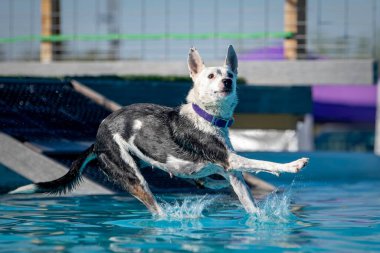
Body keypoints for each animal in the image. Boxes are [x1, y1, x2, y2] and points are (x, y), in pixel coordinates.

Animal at [11, 46, 308, 215]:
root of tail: (97, 141)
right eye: (211, 76)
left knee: (200, 180)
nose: (227, 82)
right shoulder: (229, 159)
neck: (208, 117)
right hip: (133, 177)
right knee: (157, 210)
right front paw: (293, 165)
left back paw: (211, 182)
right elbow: (265, 162)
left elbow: (250, 204)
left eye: (230, 75)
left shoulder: (232, 170)